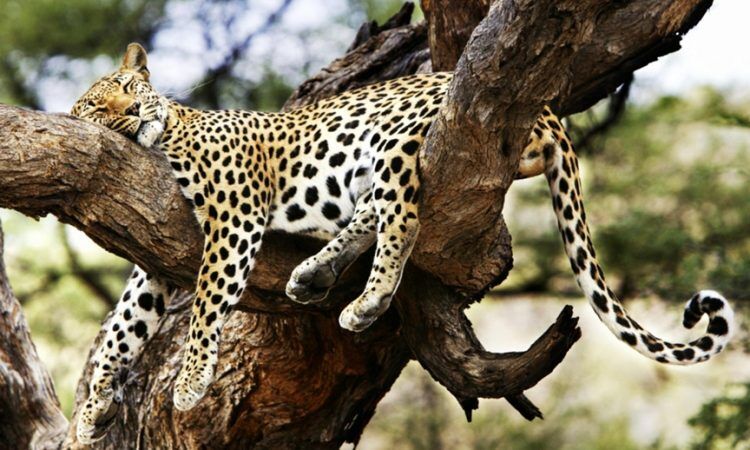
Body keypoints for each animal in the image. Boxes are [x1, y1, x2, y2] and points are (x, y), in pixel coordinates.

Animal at [67, 42, 736, 442]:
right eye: (98, 106)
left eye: (130, 89)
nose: (133, 114)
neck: (168, 135)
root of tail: (547, 109)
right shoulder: (156, 257)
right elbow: (123, 327)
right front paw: (93, 407)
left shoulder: (234, 217)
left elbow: (207, 306)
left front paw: (188, 383)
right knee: (374, 213)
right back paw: (314, 275)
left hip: (392, 140)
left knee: (403, 218)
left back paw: (365, 301)